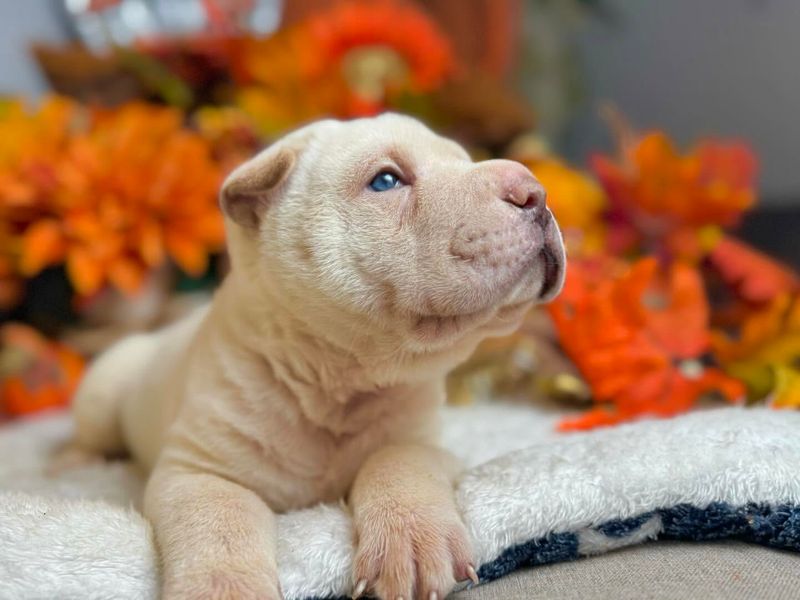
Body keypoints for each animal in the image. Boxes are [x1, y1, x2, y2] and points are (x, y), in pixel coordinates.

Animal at [70, 113, 568, 600]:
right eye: (386, 181)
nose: (534, 189)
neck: (339, 379)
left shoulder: (427, 442)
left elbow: (399, 460)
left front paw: (411, 540)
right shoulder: (198, 470)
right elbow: (219, 521)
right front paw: (225, 589)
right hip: (102, 397)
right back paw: (75, 462)